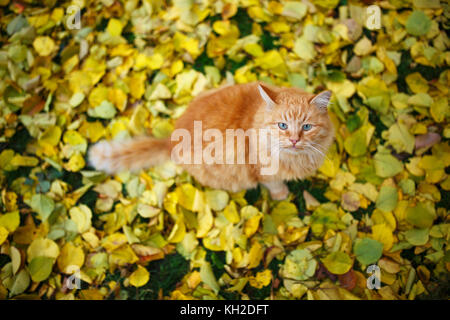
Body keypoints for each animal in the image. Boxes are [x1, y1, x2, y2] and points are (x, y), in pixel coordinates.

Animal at [89, 82, 334, 200]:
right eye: (282, 126)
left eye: (306, 127)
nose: (293, 140)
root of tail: (171, 140)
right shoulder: (263, 172)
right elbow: (274, 184)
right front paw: (281, 195)